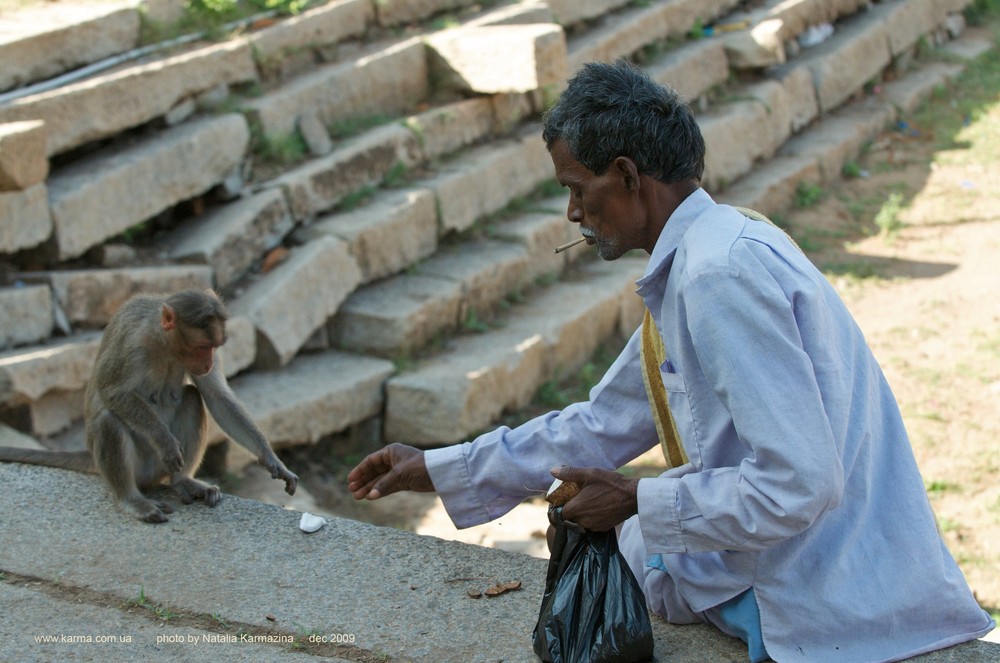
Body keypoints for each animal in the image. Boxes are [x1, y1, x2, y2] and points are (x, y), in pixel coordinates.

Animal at [0, 290, 296, 524]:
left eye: (215, 347)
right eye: (203, 346)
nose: (210, 362)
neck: (163, 342)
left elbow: (217, 397)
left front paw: (270, 458)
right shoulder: (133, 343)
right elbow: (113, 392)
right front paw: (164, 441)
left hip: (157, 468)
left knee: (191, 398)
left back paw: (183, 481)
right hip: (140, 466)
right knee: (109, 420)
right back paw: (132, 499)